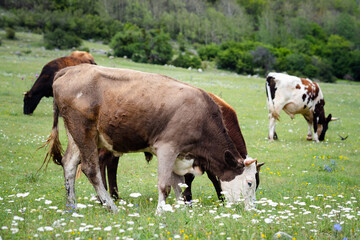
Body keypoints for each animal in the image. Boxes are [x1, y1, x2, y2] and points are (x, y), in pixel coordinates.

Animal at [96, 92, 264, 202]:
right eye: (250, 183)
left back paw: (114, 196)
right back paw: (103, 197)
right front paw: (188, 199)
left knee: (111, 165)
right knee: (101, 161)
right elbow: (190, 178)